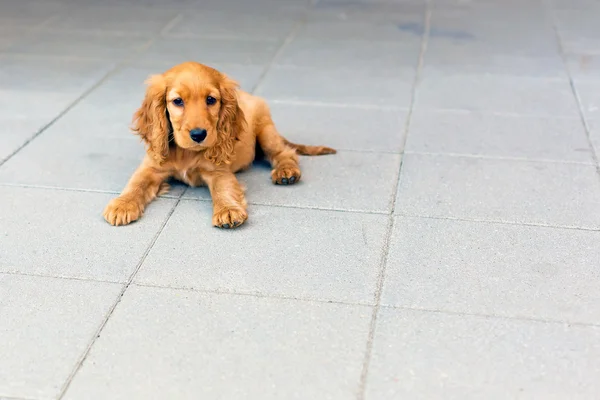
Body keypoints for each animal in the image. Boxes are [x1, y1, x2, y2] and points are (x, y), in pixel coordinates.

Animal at [104, 59, 338, 228]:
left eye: (211, 100)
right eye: (177, 101)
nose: (198, 134)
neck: (186, 153)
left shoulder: (218, 171)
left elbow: (223, 190)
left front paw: (227, 210)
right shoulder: (152, 166)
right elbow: (136, 183)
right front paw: (122, 205)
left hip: (266, 131)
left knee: (284, 153)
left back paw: (286, 172)